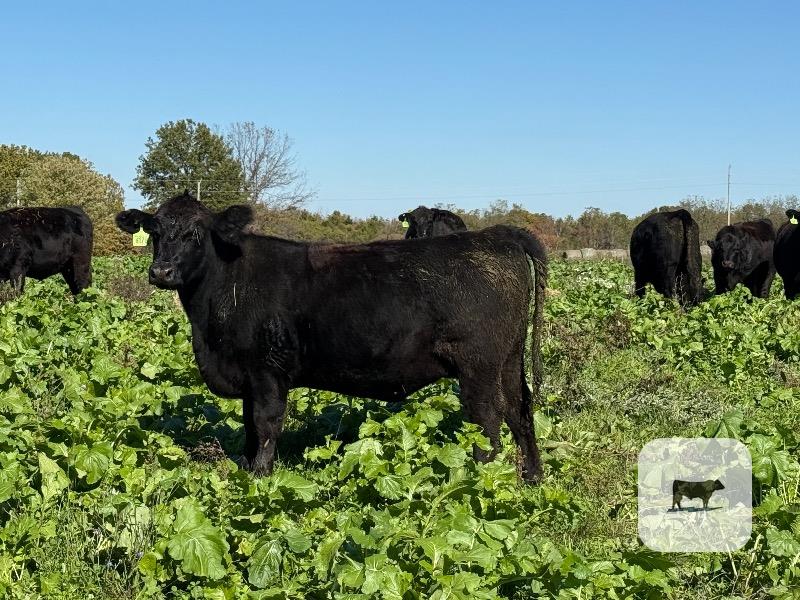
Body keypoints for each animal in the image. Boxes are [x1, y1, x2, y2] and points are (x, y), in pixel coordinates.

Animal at [116, 192, 547, 482]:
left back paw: (479, 484)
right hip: (509, 359)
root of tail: (496, 235)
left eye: (196, 232)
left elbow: (266, 425)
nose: (162, 272)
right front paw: (247, 468)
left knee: (488, 422)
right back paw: (531, 478)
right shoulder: (249, 377)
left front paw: (260, 478)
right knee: (521, 410)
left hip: (479, 368)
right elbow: (250, 428)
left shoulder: (267, 372)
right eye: (155, 231)